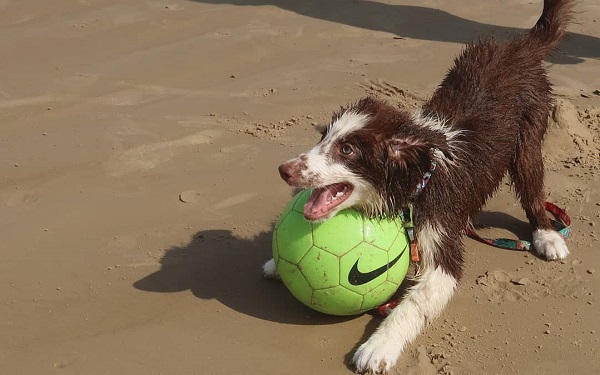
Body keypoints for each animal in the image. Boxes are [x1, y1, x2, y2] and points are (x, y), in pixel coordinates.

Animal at [262, 0, 572, 374]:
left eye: (347, 150)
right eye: (324, 138)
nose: (284, 170)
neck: (418, 180)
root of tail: (519, 47)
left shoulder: (440, 247)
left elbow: (411, 305)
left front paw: (377, 347)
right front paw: (276, 264)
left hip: (529, 133)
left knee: (532, 186)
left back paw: (547, 235)